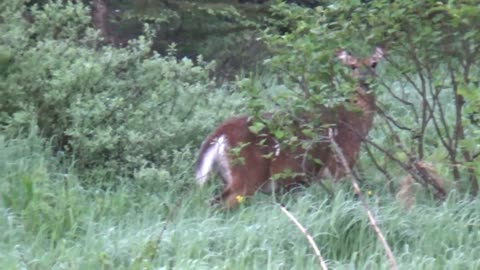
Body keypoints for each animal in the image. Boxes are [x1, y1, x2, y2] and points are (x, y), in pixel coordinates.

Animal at [195, 47, 386, 207]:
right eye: (353, 66)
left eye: (373, 64)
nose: (364, 80)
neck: (354, 122)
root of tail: (220, 133)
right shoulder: (340, 162)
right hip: (247, 173)